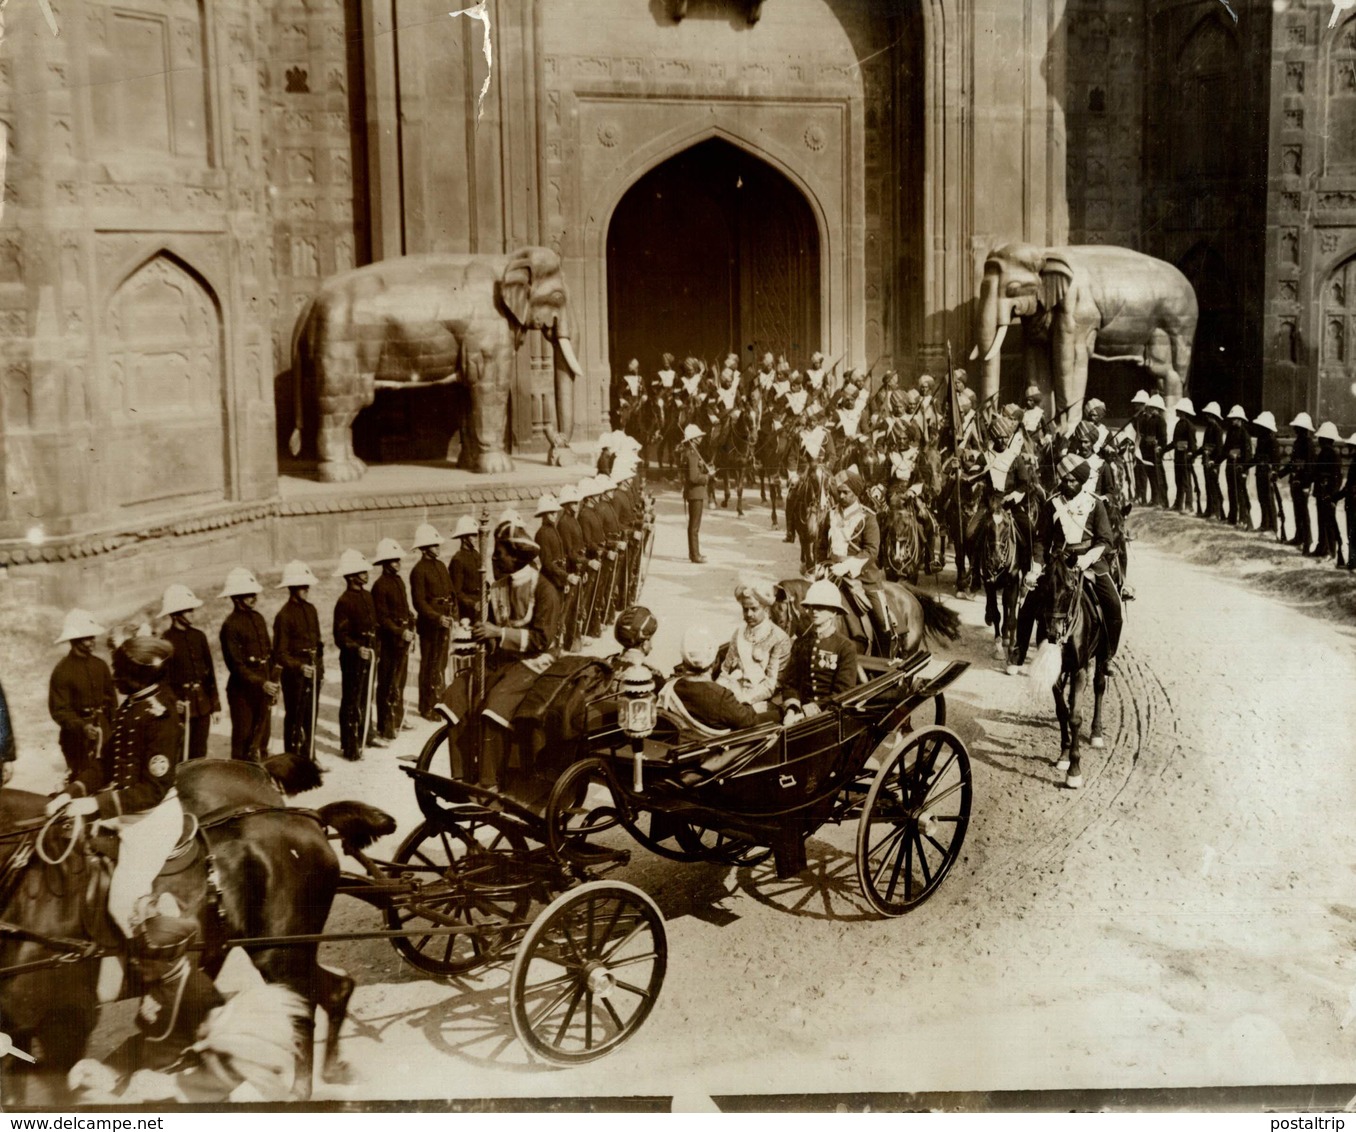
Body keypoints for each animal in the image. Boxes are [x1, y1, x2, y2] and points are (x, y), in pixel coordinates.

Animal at [0, 759, 395, 1100]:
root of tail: (309, 819)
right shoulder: (20, 1027)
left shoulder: (65, 1025)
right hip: (264, 952)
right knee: (335, 990)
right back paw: (330, 1069)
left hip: (282, 952)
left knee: (304, 1008)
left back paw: (299, 1089)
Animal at [1030, 547, 1106, 786]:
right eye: (1043, 586)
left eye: (1070, 587)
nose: (1053, 634)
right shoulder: (1057, 673)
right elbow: (1063, 711)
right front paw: (1064, 756)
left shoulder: (1079, 669)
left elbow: (1075, 717)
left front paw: (1074, 769)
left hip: (1101, 656)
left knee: (1099, 685)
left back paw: (1096, 733)